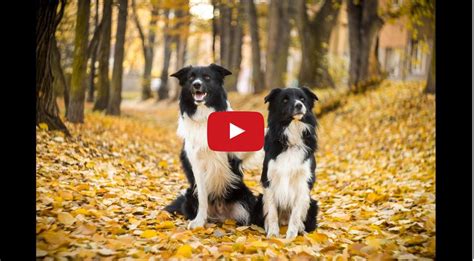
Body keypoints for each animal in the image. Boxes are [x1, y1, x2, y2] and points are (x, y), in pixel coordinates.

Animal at [164, 63, 262, 228]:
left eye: (207, 77)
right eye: (191, 77)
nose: (197, 84)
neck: (205, 117)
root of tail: (221, 213)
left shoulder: (235, 155)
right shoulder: (196, 163)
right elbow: (203, 196)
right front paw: (198, 221)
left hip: (245, 197)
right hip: (190, 194)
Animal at [252, 87, 318, 238]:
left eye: (302, 98)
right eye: (285, 100)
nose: (299, 105)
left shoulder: (303, 182)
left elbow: (295, 214)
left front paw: (291, 237)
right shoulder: (269, 180)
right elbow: (272, 212)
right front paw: (273, 235)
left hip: (312, 202)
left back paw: (301, 228)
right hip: (260, 199)